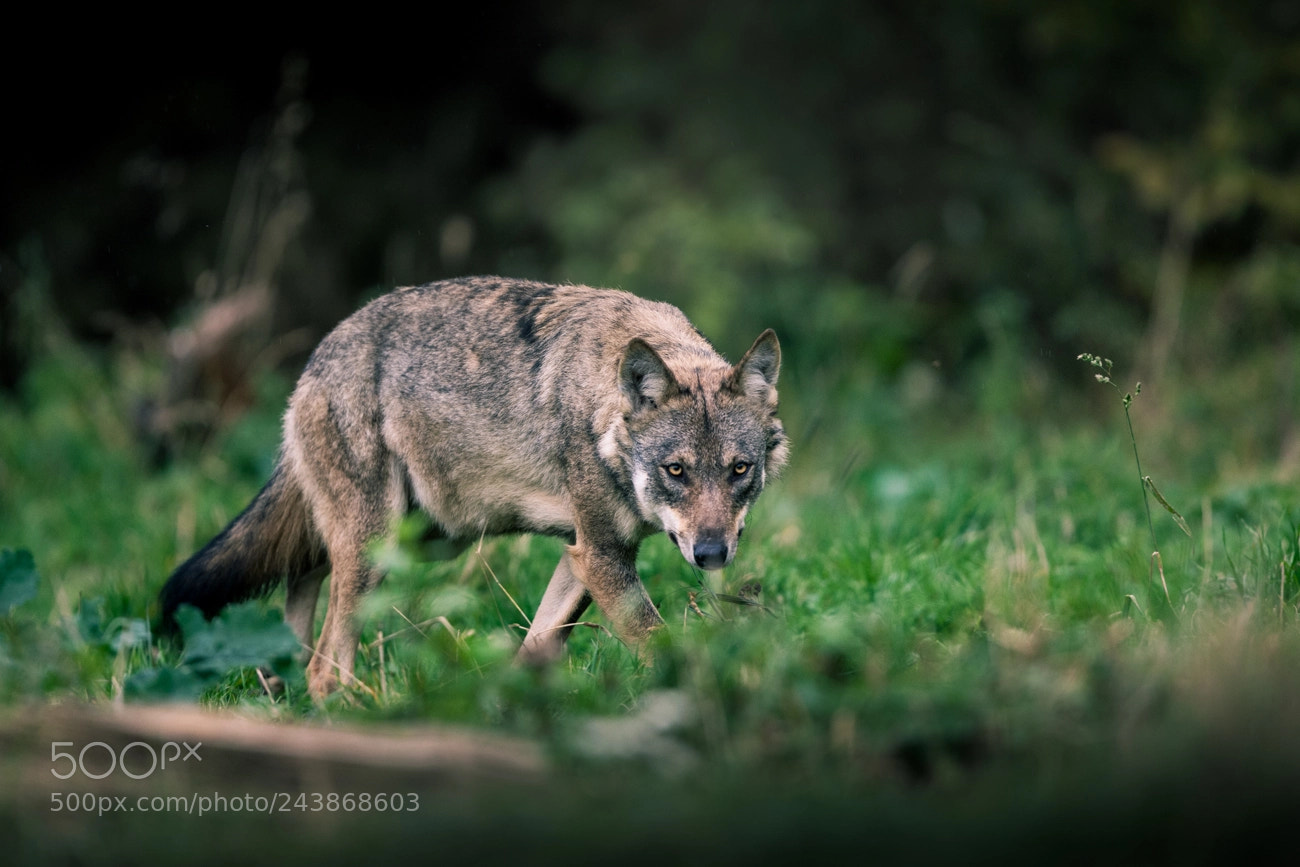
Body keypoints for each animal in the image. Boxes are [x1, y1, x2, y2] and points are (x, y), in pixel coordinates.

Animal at [159, 276, 787, 697]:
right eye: (676, 471)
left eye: (738, 470)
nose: (712, 554)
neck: (602, 405)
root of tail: (318, 357)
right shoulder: (603, 557)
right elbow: (661, 645)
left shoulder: (583, 557)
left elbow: (536, 646)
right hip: (378, 549)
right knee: (325, 665)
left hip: (417, 540)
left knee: (301, 593)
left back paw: (279, 687)